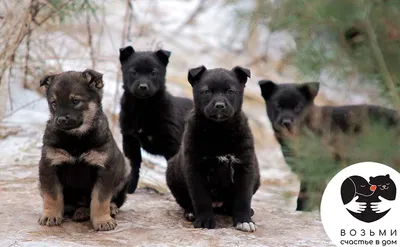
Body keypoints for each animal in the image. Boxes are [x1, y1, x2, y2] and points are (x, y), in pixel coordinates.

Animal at [38, 69, 130, 232]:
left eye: (75, 101)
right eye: (54, 103)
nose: (60, 120)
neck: (76, 138)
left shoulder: (104, 168)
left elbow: (100, 199)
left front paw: (102, 220)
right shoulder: (49, 166)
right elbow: (52, 196)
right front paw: (51, 215)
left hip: (125, 169)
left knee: (114, 199)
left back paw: (108, 208)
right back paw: (79, 211)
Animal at [119, 45, 194, 193]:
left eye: (153, 73)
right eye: (133, 72)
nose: (143, 87)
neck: (142, 108)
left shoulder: (173, 144)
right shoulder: (130, 139)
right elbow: (133, 165)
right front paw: (129, 188)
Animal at [165, 65, 260, 232]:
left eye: (230, 91)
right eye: (207, 91)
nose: (219, 106)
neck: (219, 131)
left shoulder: (245, 167)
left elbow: (243, 198)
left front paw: (244, 221)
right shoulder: (195, 168)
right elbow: (201, 197)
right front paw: (204, 220)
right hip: (172, 174)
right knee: (186, 201)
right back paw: (191, 212)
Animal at [258, 80, 398, 211]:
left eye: (298, 107)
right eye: (277, 106)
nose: (286, 122)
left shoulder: (318, 169)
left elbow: (309, 194)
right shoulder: (307, 172)